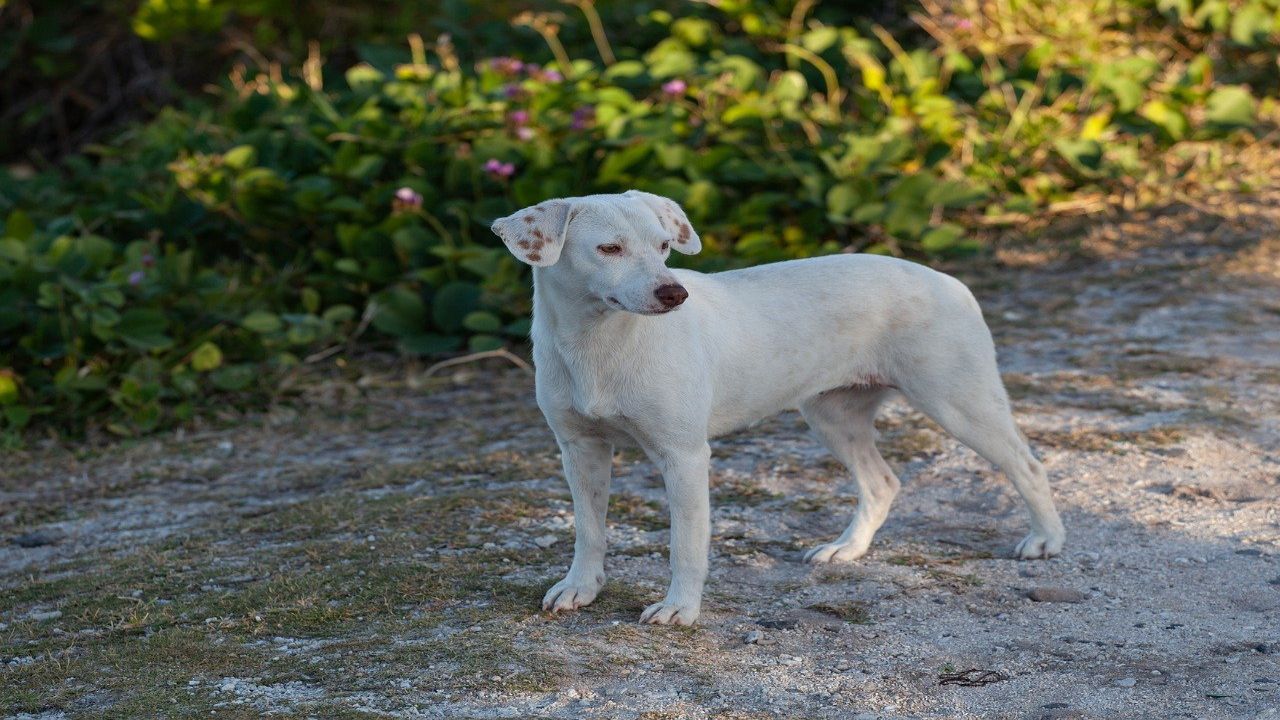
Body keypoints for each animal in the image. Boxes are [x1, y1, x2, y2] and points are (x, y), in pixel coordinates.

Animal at [486, 190, 1059, 622]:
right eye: (608, 248)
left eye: (664, 245)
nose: (674, 294)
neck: (599, 345)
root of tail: (949, 281)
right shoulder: (579, 450)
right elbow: (589, 531)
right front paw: (580, 588)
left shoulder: (684, 456)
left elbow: (686, 545)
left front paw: (680, 610)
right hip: (833, 418)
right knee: (881, 483)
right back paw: (847, 550)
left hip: (958, 402)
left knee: (1027, 465)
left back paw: (1045, 542)